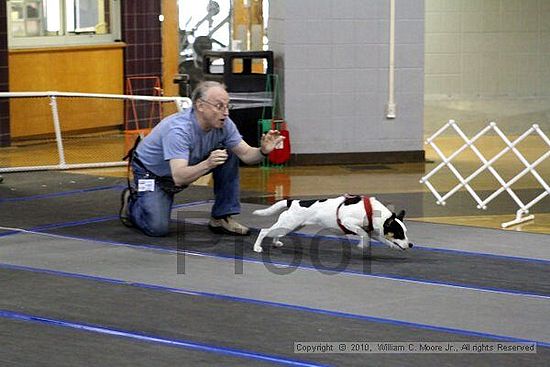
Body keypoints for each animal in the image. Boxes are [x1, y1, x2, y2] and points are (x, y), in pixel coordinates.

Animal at [252, 196, 412, 253]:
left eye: (405, 233)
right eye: (399, 233)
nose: (411, 245)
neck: (372, 212)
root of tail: (292, 202)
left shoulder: (374, 232)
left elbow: (383, 240)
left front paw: (393, 246)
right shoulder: (348, 222)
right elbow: (363, 234)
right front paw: (362, 245)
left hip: (291, 226)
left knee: (276, 233)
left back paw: (276, 243)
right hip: (289, 224)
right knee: (264, 230)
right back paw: (257, 247)